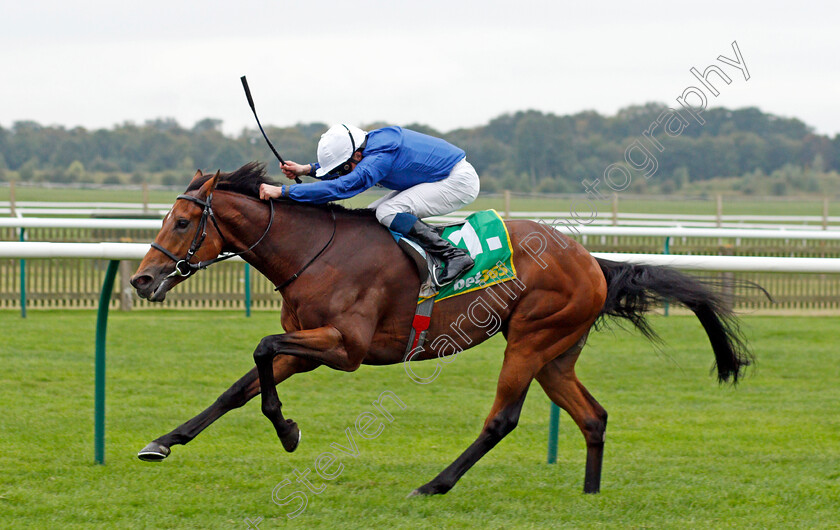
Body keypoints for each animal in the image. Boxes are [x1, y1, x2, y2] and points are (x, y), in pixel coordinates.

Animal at [131, 162, 756, 496]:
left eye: (182, 221)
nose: (141, 280)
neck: (314, 252)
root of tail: (590, 261)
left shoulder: (344, 347)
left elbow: (261, 350)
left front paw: (287, 431)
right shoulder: (307, 345)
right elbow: (238, 387)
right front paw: (163, 442)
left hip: (530, 339)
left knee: (502, 419)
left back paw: (435, 483)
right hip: (555, 353)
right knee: (593, 417)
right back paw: (589, 493)